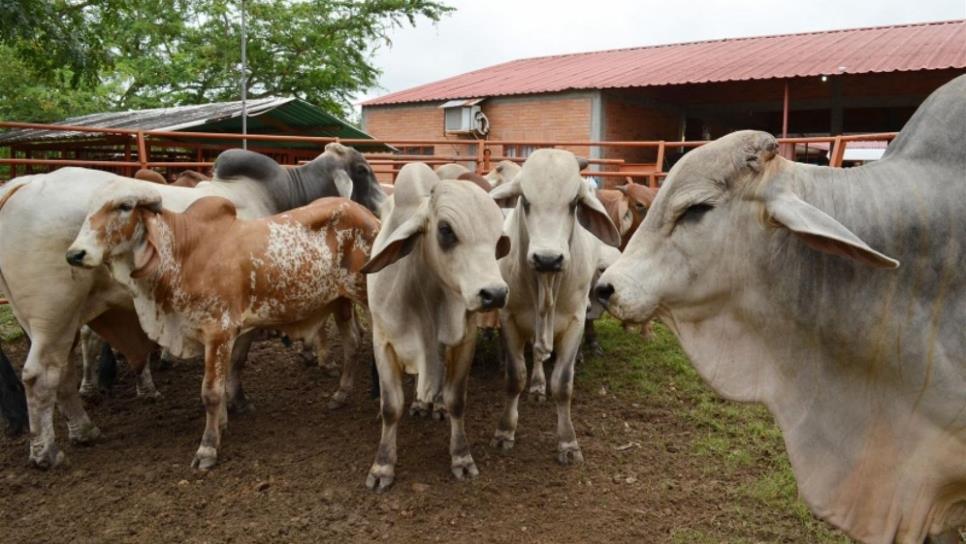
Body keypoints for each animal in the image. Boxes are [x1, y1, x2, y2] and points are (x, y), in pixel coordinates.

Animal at [0, 142, 386, 466]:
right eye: (364, 170)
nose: (384, 211)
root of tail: (22, 185)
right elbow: (236, 361)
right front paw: (236, 403)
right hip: (55, 314)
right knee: (40, 377)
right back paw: (47, 451)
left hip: (53, 321)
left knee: (61, 373)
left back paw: (83, 429)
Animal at [358, 160, 506, 488]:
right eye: (446, 230)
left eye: (497, 236)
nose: (495, 293)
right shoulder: (383, 341)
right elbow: (391, 406)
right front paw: (382, 466)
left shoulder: (465, 339)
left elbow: (456, 400)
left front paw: (461, 457)